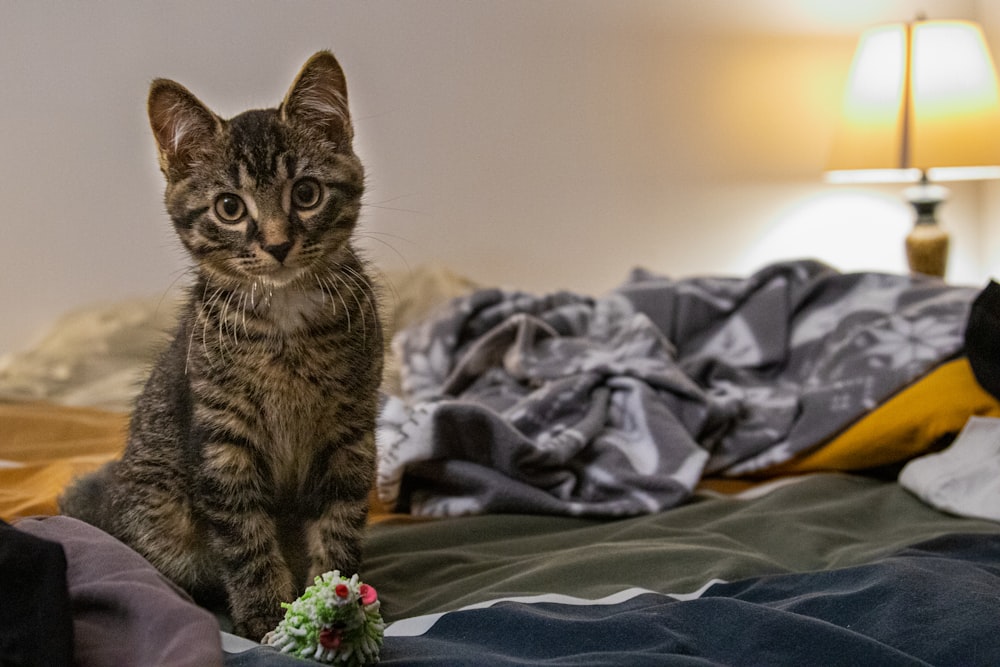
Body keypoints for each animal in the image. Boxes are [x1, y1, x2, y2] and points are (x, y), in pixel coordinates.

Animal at [59, 52, 382, 640]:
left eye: (306, 194)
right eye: (230, 207)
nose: (277, 244)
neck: (285, 320)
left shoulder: (350, 430)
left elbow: (339, 523)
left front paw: (338, 600)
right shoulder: (223, 437)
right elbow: (244, 534)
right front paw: (267, 613)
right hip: (159, 512)